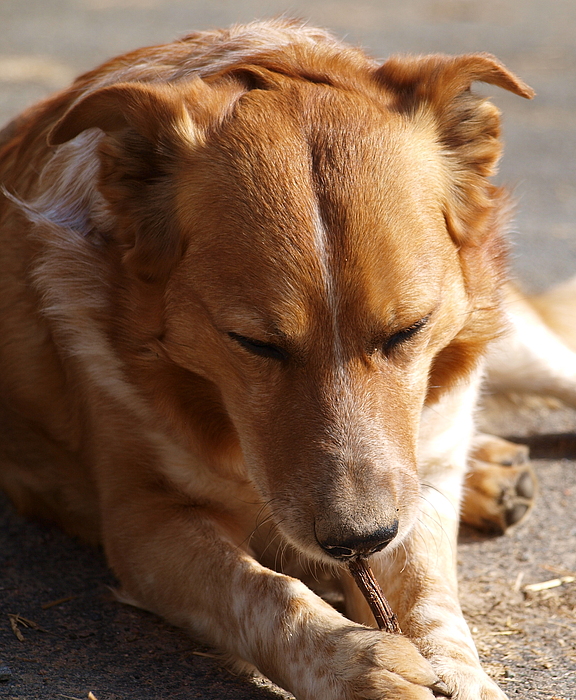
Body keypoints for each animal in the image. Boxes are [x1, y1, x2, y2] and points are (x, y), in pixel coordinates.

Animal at [1, 19, 576, 696]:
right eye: (255, 344)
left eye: (409, 330)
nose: (357, 540)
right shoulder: (144, 521)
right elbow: (265, 593)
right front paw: (360, 664)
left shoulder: (418, 488)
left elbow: (429, 598)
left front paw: (460, 675)